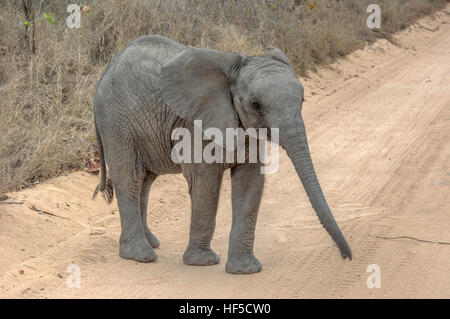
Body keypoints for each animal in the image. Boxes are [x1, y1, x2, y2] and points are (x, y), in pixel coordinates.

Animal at [92, 35, 352, 276]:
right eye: (256, 105)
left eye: (302, 100)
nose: (347, 257)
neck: (235, 71)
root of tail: (105, 72)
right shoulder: (196, 122)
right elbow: (206, 181)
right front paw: (202, 262)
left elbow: (250, 182)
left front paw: (245, 270)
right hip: (116, 121)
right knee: (130, 177)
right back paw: (140, 255)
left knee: (145, 180)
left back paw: (151, 243)